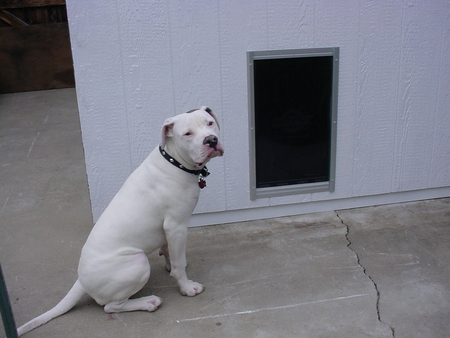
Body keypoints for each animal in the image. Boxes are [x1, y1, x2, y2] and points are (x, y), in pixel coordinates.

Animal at [18, 105, 225, 336]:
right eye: (187, 134)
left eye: (209, 123)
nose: (211, 140)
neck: (175, 162)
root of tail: (81, 281)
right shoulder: (176, 226)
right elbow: (181, 263)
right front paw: (187, 287)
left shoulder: (169, 231)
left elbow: (169, 252)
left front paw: (169, 266)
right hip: (137, 263)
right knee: (111, 307)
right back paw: (148, 302)